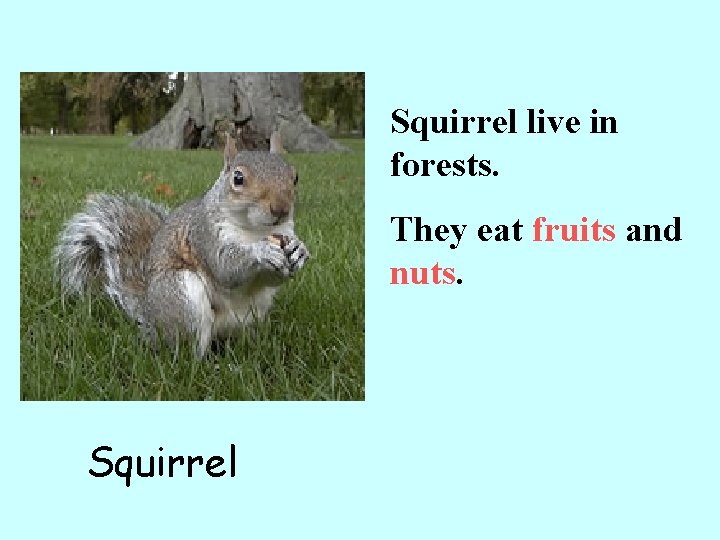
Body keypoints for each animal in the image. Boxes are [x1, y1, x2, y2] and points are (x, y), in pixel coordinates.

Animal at [53, 132, 310, 357]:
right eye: (238, 178)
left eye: (296, 176)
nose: (281, 209)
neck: (256, 231)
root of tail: (151, 317)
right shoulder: (204, 235)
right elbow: (226, 269)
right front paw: (261, 251)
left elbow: (273, 279)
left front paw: (299, 251)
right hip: (183, 296)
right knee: (187, 347)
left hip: (255, 312)